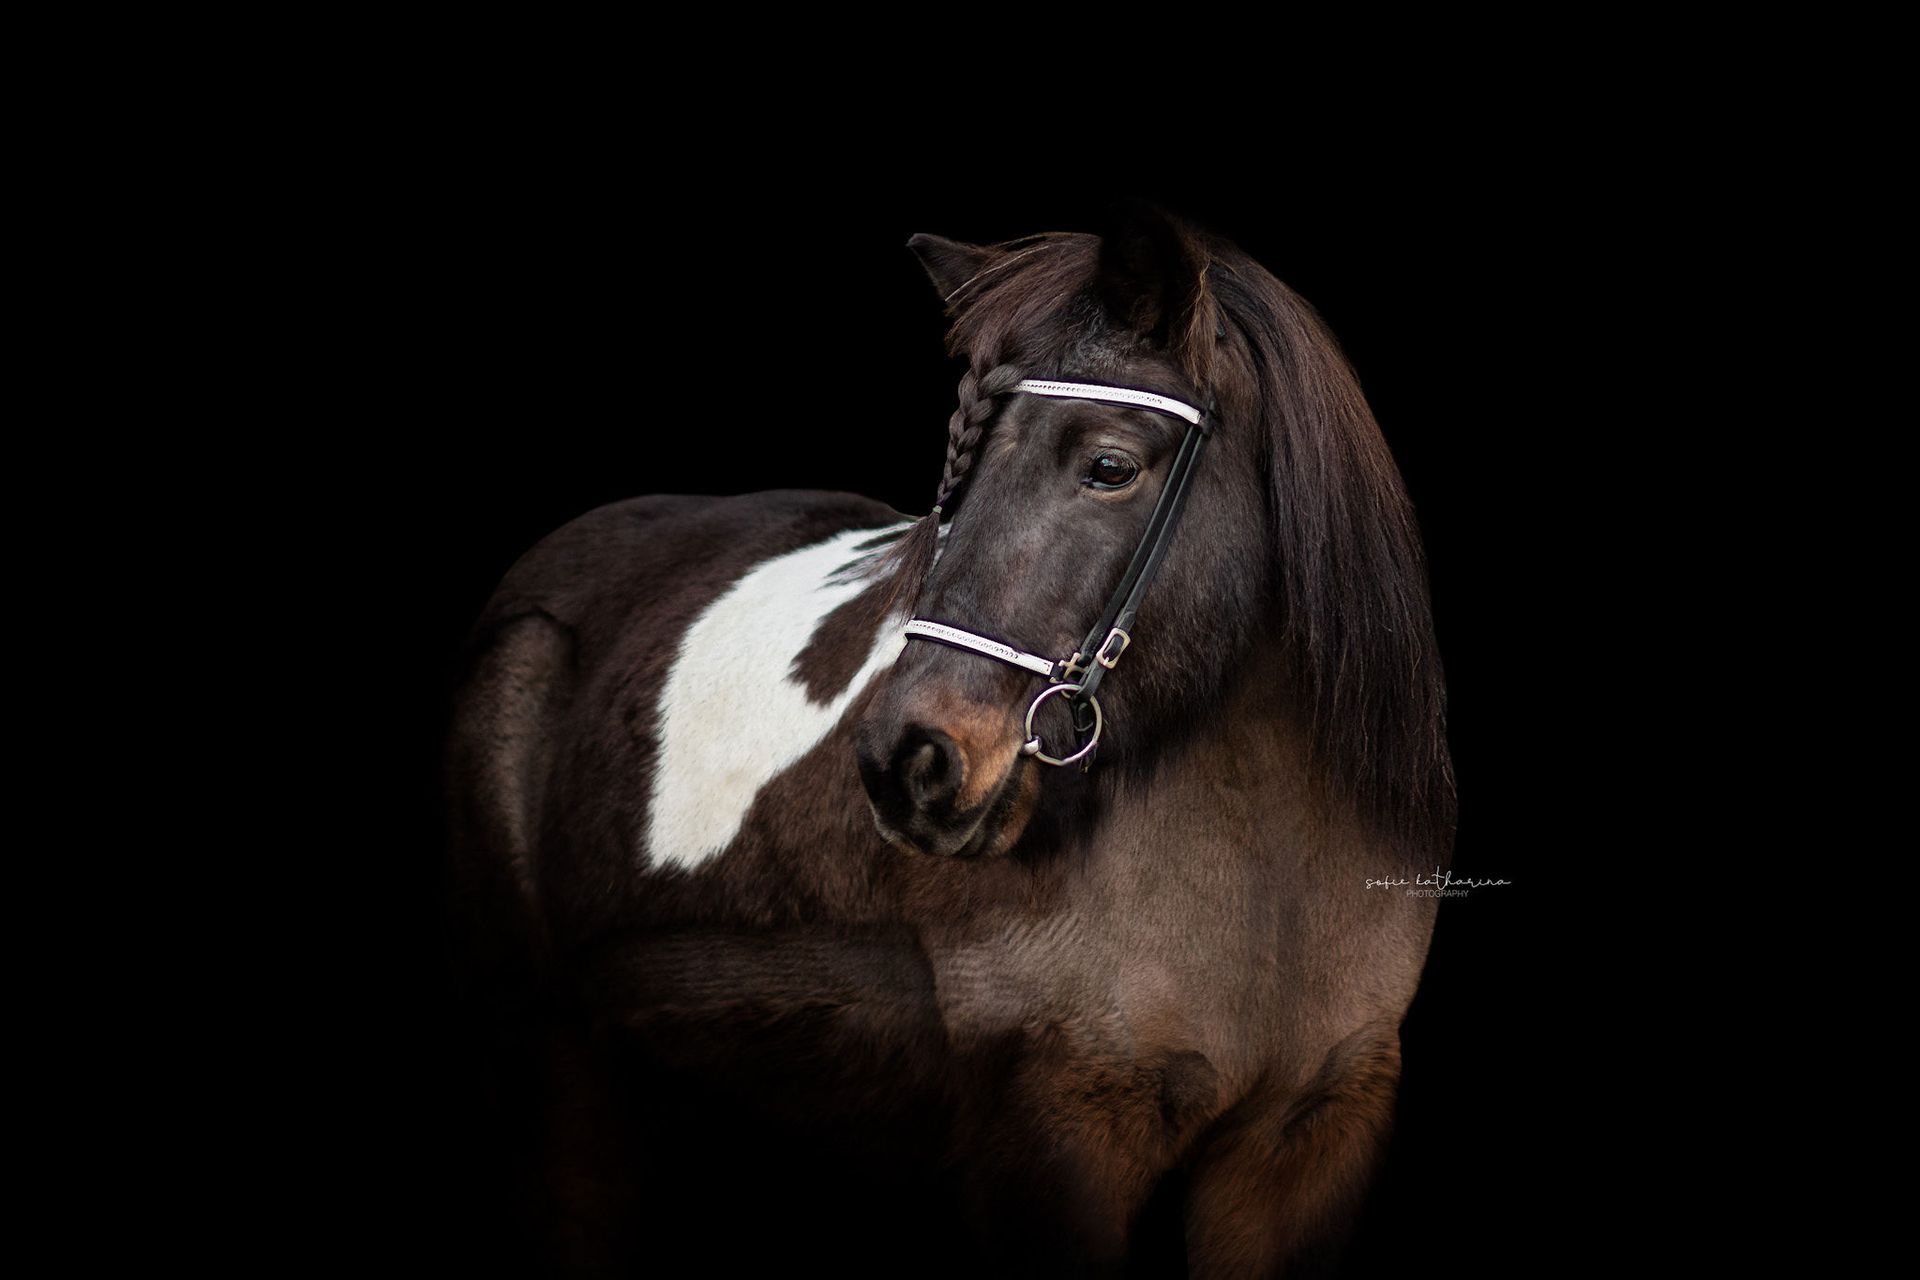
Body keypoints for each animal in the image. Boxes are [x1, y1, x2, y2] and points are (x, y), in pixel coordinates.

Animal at [441, 200, 1456, 1276]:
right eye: (956, 484)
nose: (909, 761)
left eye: (1110, 466)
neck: (1270, 876)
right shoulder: (1055, 1130)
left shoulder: (1305, 1139)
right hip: (552, 1060)